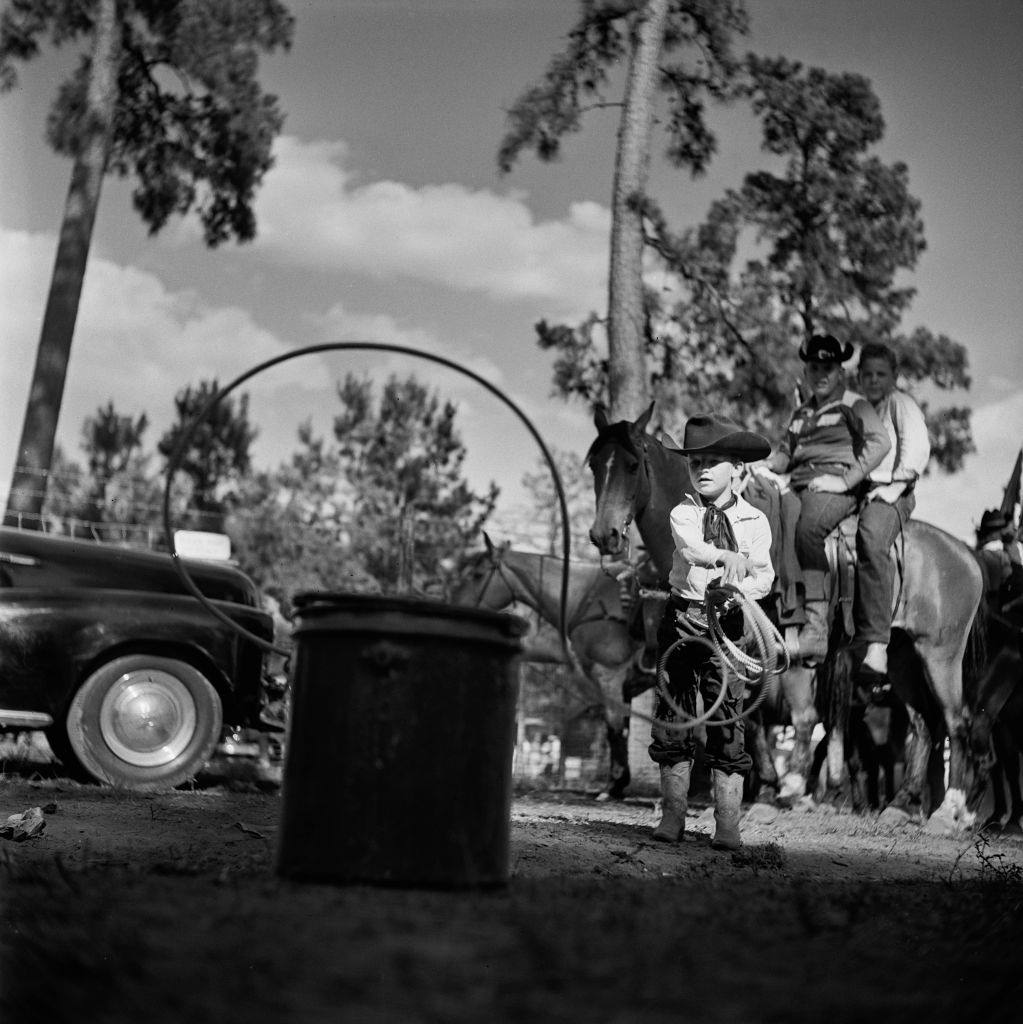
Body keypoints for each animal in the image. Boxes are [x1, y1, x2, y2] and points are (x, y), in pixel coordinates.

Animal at [454, 536, 659, 798]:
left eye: (478, 574)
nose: (456, 606)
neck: (586, 597)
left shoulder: (609, 677)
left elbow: (615, 730)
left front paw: (614, 785)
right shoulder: (621, 686)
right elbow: (620, 728)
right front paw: (617, 784)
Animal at [589, 399, 987, 831]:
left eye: (632, 465)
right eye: (594, 465)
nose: (603, 535)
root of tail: (964, 554)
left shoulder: (783, 648)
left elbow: (795, 717)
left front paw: (785, 789)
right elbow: (755, 720)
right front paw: (763, 789)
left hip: (940, 656)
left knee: (957, 722)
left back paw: (949, 811)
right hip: (902, 659)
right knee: (924, 725)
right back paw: (901, 804)